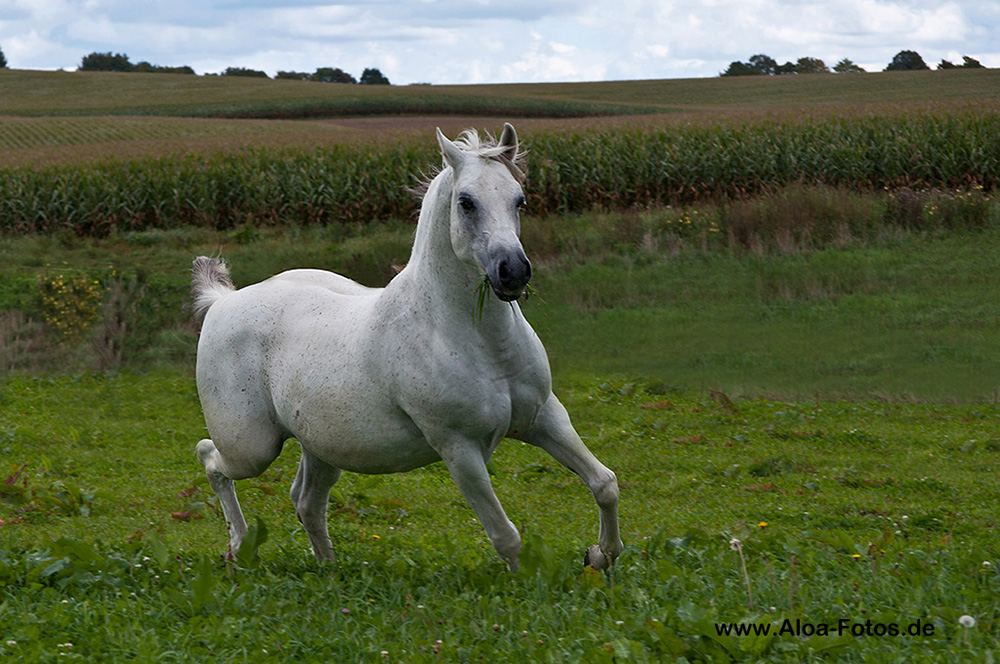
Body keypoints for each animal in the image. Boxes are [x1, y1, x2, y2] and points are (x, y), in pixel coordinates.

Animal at [191, 127, 620, 572]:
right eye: (466, 202)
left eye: (519, 199)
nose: (513, 272)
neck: (477, 343)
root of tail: (221, 300)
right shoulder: (459, 448)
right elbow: (506, 536)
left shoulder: (544, 417)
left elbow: (605, 483)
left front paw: (600, 556)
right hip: (252, 447)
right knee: (211, 458)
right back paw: (239, 547)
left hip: (323, 447)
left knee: (306, 501)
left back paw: (328, 568)